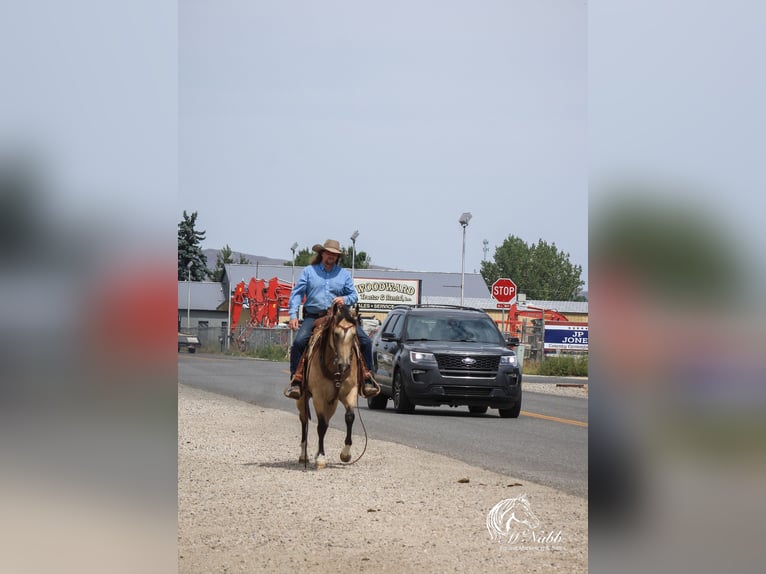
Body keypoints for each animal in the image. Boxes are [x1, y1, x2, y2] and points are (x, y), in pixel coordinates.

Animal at [296, 304, 364, 470]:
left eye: (354, 335)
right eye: (335, 334)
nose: (344, 365)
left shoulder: (350, 392)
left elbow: (349, 417)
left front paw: (345, 454)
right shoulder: (319, 397)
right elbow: (320, 425)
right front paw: (321, 457)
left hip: (331, 403)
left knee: (326, 421)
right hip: (302, 399)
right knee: (304, 420)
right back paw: (304, 455)